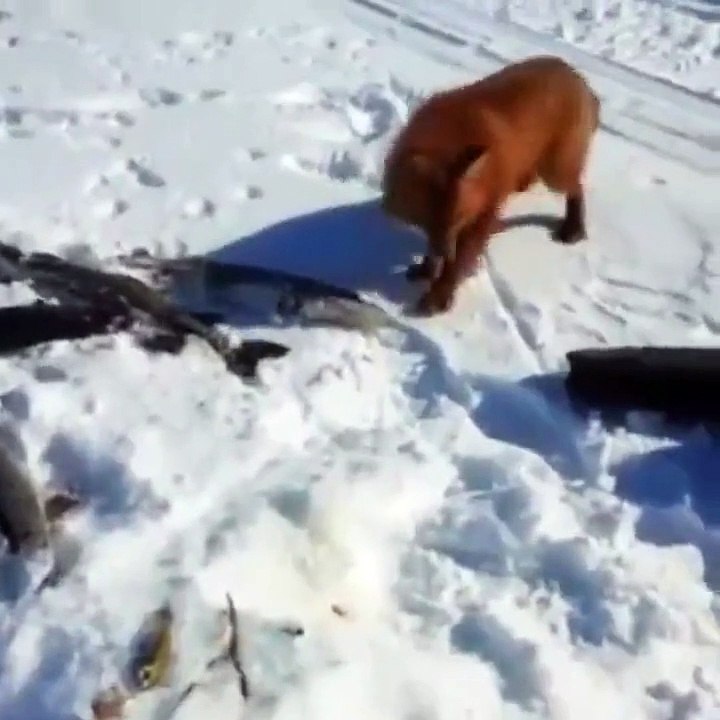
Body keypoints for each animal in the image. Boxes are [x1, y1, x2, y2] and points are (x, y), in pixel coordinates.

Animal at [381, 55, 601, 315]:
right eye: (428, 220)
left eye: (458, 217)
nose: (447, 253)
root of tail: (578, 77)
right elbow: (432, 249)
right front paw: (427, 269)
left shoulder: (484, 212)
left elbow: (459, 263)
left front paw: (439, 294)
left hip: (555, 172)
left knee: (576, 189)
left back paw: (574, 227)